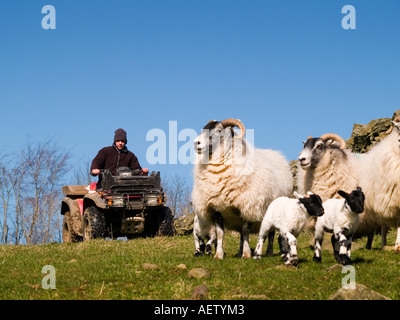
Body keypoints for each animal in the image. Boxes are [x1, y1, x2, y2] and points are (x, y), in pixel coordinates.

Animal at [192, 119, 292, 258]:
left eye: (219, 130)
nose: (197, 143)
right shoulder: (216, 207)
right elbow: (220, 233)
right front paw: (219, 255)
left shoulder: (249, 205)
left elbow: (245, 231)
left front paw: (246, 254)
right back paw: (239, 252)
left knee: (271, 234)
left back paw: (268, 252)